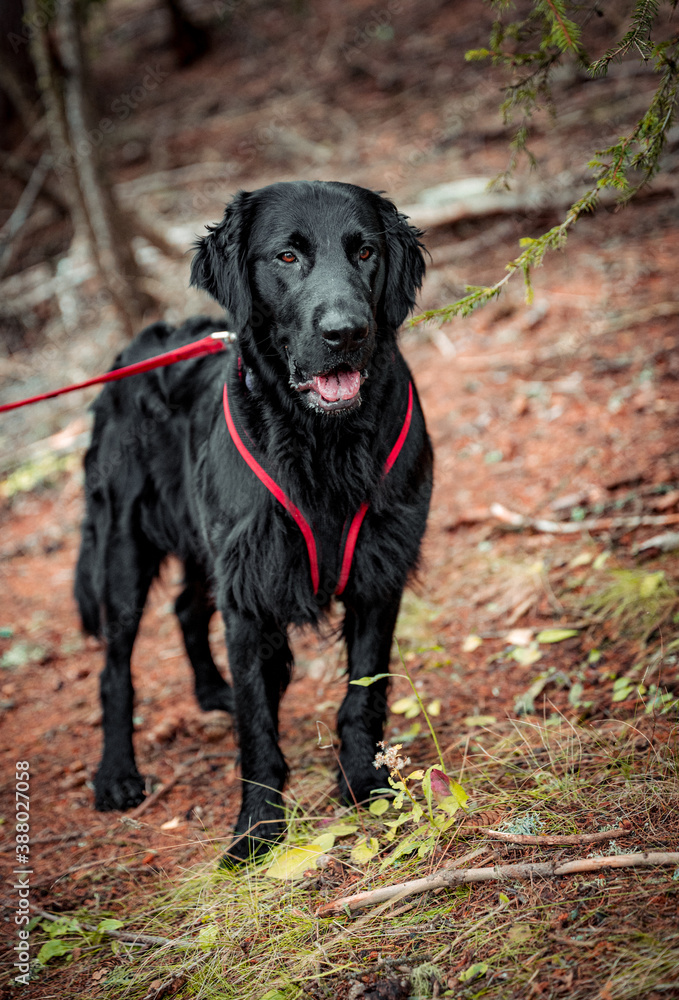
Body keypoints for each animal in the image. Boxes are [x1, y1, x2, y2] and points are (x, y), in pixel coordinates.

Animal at [75, 182, 436, 860]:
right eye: (286, 257)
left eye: (367, 251)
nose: (346, 332)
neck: (321, 441)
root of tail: (132, 352)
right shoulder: (248, 592)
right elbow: (258, 726)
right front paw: (258, 829)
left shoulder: (378, 569)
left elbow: (364, 694)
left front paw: (365, 783)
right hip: (123, 548)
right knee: (114, 669)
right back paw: (117, 774)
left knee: (186, 608)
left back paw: (209, 691)